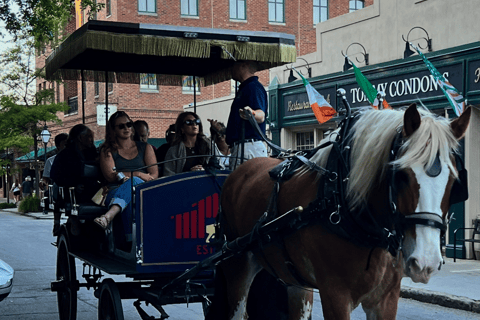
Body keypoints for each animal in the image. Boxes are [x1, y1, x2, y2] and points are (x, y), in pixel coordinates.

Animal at [218, 104, 472, 318]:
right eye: (401, 175)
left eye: (454, 182)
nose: (426, 261)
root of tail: (242, 168)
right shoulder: (335, 294)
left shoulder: (386, 298)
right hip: (237, 262)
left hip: (295, 279)